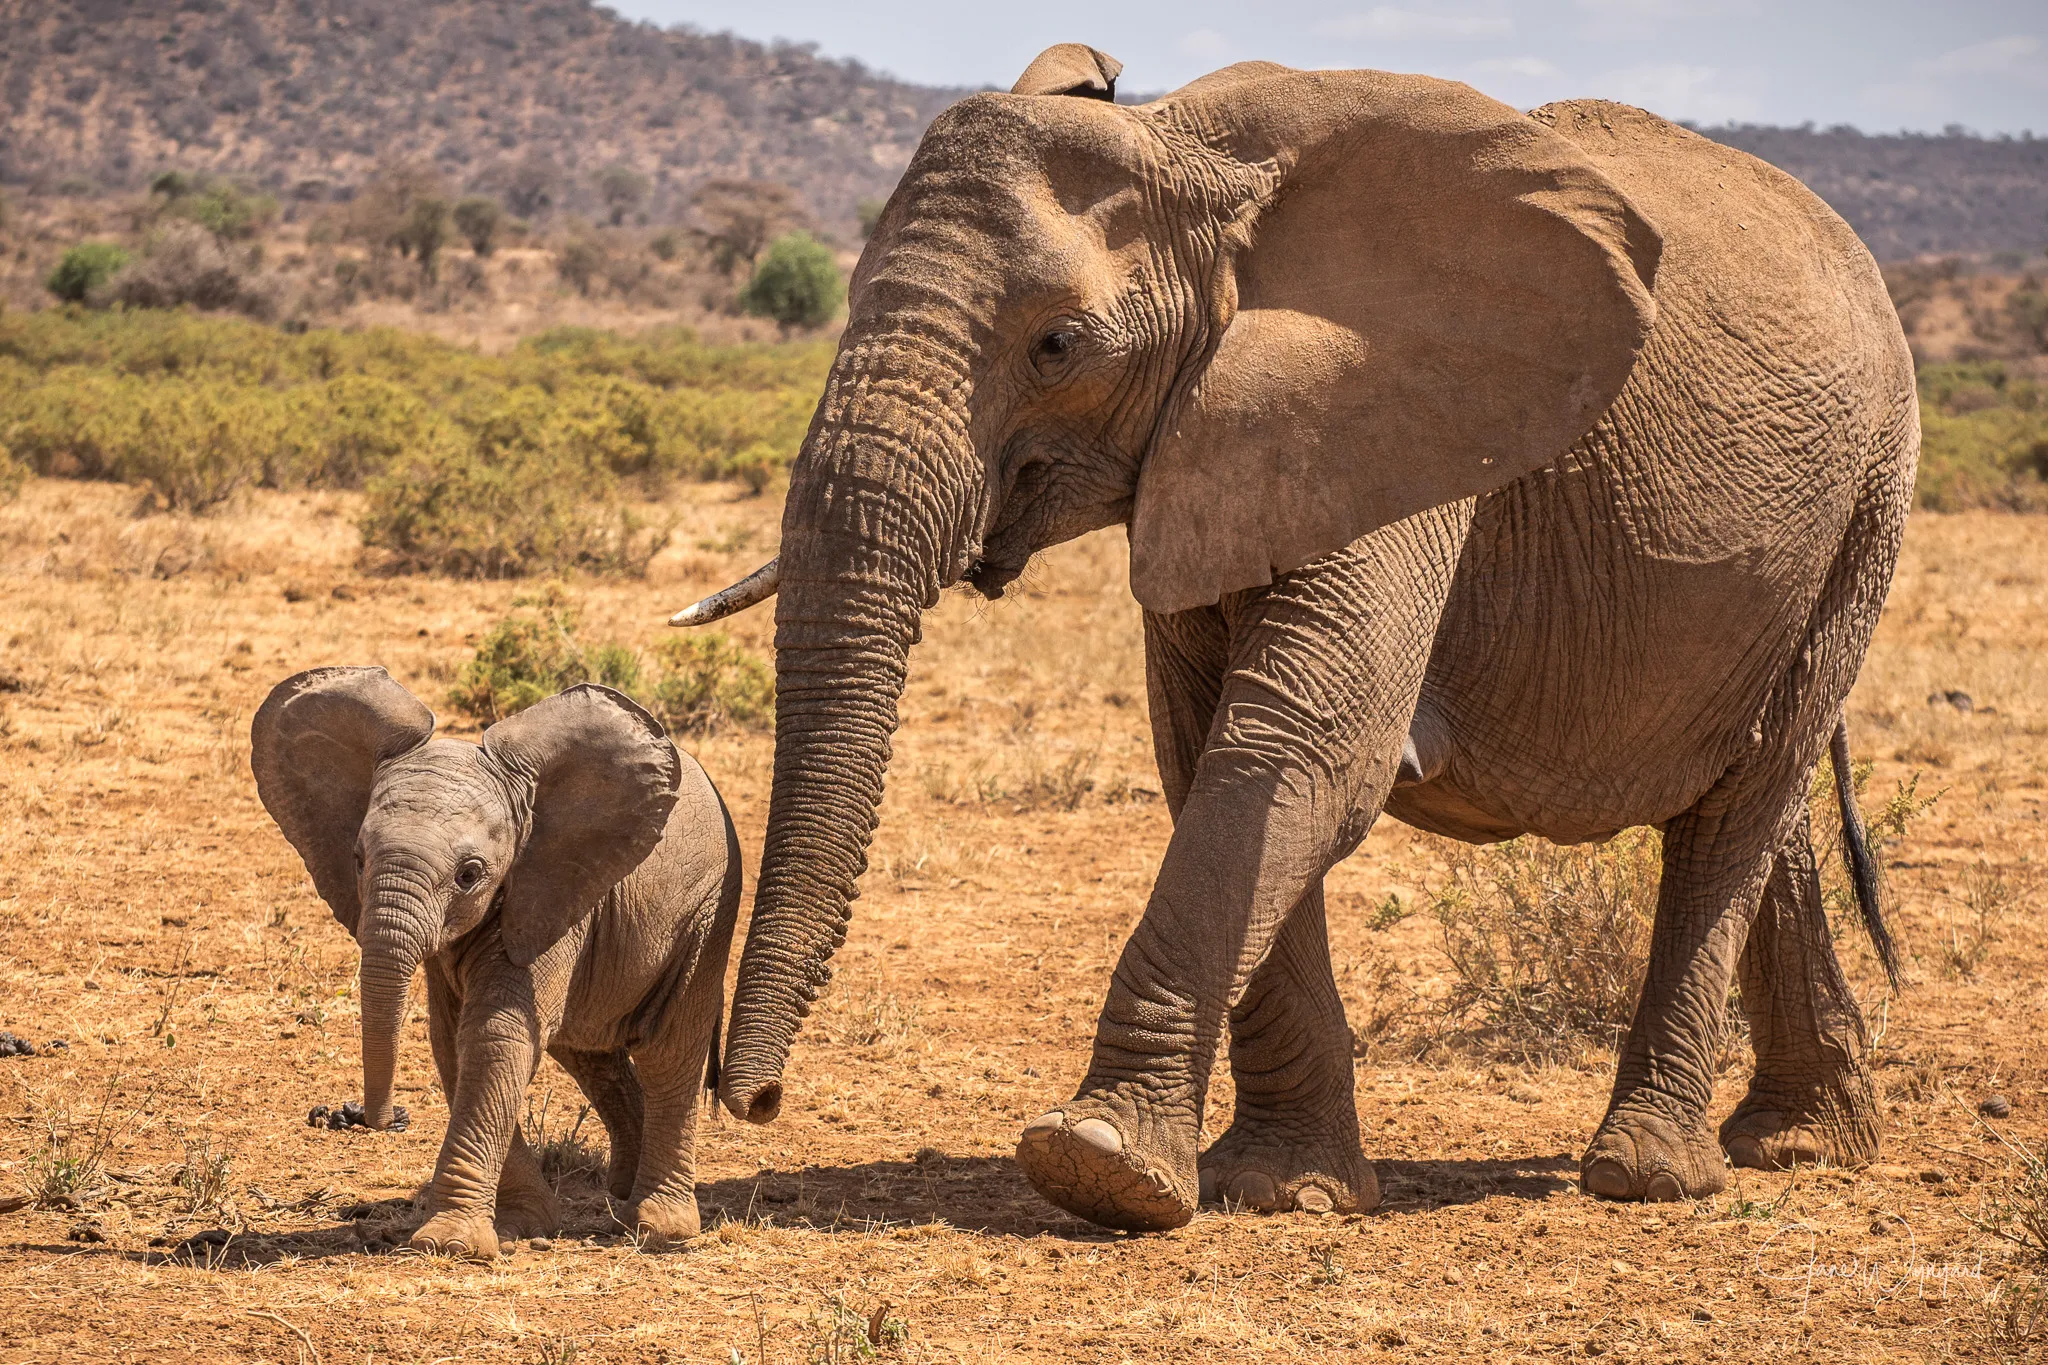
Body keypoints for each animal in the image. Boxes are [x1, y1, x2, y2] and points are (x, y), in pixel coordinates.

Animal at [251, 669, 740, 1256]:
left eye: (470, 874)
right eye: (358, 859)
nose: (376, 1120)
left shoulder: (550, 887)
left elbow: (494, 1035)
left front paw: (448, 1244)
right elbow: (452, 1041)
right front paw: (520, 1225)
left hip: (708, 910)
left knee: (670, 1050)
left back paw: (656, 1227)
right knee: (589, 1055)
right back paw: (621, 1191)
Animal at [672, 46, 1916, 1233]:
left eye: (1058, 344)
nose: (752, 1099)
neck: (1187, 149)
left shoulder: (1404, 421)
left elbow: (1300, 752)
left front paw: (1097, 1167)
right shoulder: (1215, 444)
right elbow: (1207, 757)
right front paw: (1281, 1189)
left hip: (1868, 497)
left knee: (1741, 801)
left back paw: (1647, 1173)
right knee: (1760, 798)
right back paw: (1802, 1144)